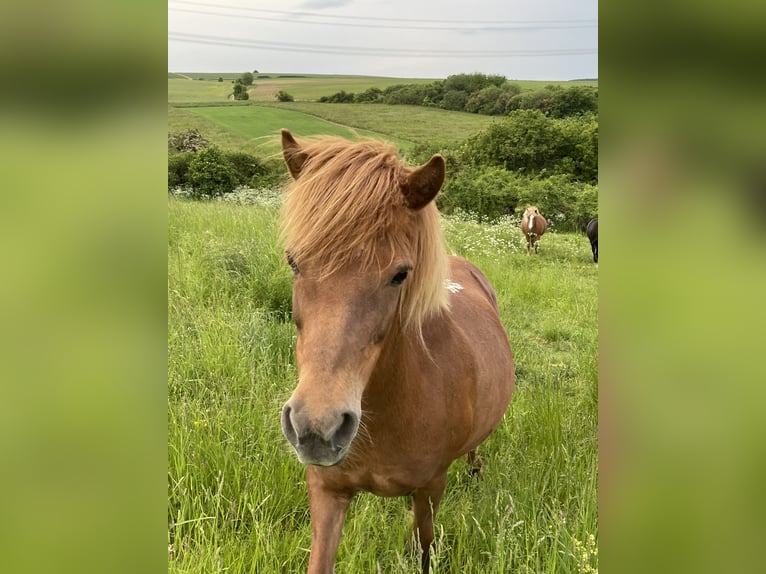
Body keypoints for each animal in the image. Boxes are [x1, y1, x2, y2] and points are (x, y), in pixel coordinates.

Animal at [278, 129, 515, 574]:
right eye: (294, 262)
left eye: (400, 274)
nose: (317, 428)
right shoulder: (326, 490)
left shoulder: (430, 490)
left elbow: (423, 548)